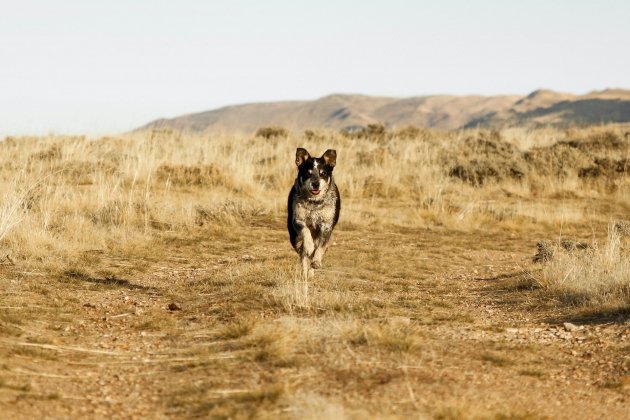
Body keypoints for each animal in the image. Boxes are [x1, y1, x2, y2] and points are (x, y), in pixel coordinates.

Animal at [290, 146, 344, 280]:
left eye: (322, 173)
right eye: (308, 173)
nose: (316, 183)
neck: (314, 203)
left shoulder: (326, 226)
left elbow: (320, 247)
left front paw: (316, 262)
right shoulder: (298, 220)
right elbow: (306, 232)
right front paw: (309, 246)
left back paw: (311, 271)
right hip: (295, 238)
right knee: (303, 255)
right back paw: (305, 273)